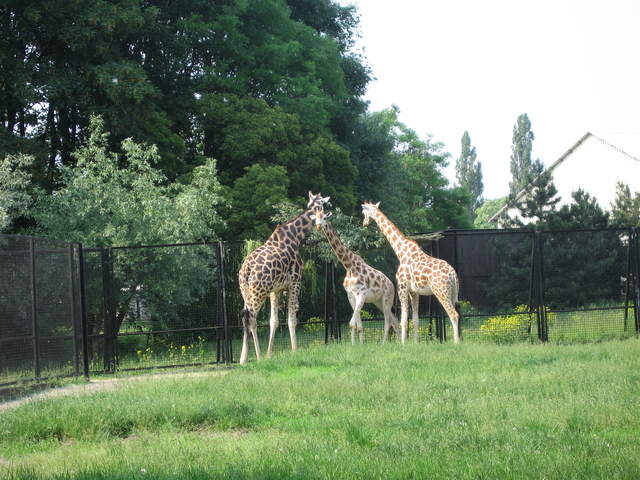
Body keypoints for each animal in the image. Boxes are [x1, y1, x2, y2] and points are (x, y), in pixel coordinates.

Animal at [238, 192, 330, 364]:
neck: (295, 237)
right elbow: (291, 319)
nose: (321, 222)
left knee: (245, 317)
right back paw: (255, 357)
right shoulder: (295, 282)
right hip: (259, 291)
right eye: (323, 204)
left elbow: (273, 321)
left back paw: (244, 358)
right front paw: (295, 350)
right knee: (251, 318)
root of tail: (246, 270)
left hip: (246, 291)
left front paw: (270, 354)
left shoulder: (276, 289)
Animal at [310, 208, 399, 344]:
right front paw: (359, 344)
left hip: (387, 299)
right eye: (315, 219)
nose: (319, 226)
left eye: (324, 217)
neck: (348, 265)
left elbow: (352, 324)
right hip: (377, 302)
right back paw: (401, 341)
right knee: (395, 320)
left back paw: (384, 343)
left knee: (388, 322)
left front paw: (354, 344)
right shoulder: (351, 296)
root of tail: (392, 285)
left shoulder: (361, 294)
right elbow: (358, 326)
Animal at [361, 202, 461, 344]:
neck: (401, 251)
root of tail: (453, 274)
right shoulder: (414, 291)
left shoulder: (402, 287)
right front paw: (415, 343)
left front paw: (403, 343)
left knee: (453, 314)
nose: (364, 223)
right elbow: (415, 320)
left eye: (364, 213)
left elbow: (403, 319)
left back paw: (456, 343)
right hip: (451, 292)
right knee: (456, 313)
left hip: (441, 291)